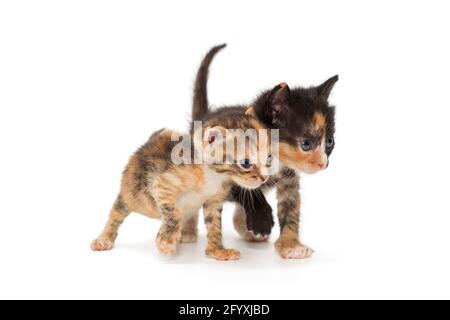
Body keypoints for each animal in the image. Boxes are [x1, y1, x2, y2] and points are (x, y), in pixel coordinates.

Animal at [90, 112, 278, 260]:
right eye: (246, 163)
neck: (213, 175)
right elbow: (174, 213)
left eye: (269, 157)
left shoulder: (214, 201)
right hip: (132, 193)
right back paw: (104, 239)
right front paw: (166, 242)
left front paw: (217, 251)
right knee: (117, 212)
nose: (264, 177)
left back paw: (186, 234)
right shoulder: (161, 184)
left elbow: (214, 225)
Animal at [191, 44, 338, 260]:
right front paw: (262, 220)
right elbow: (247, 189)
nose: (323, 163)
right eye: (306, 143)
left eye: (329, 142)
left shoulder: (289, 179)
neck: (278, 161)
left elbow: (291, 207)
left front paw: (291, 245)